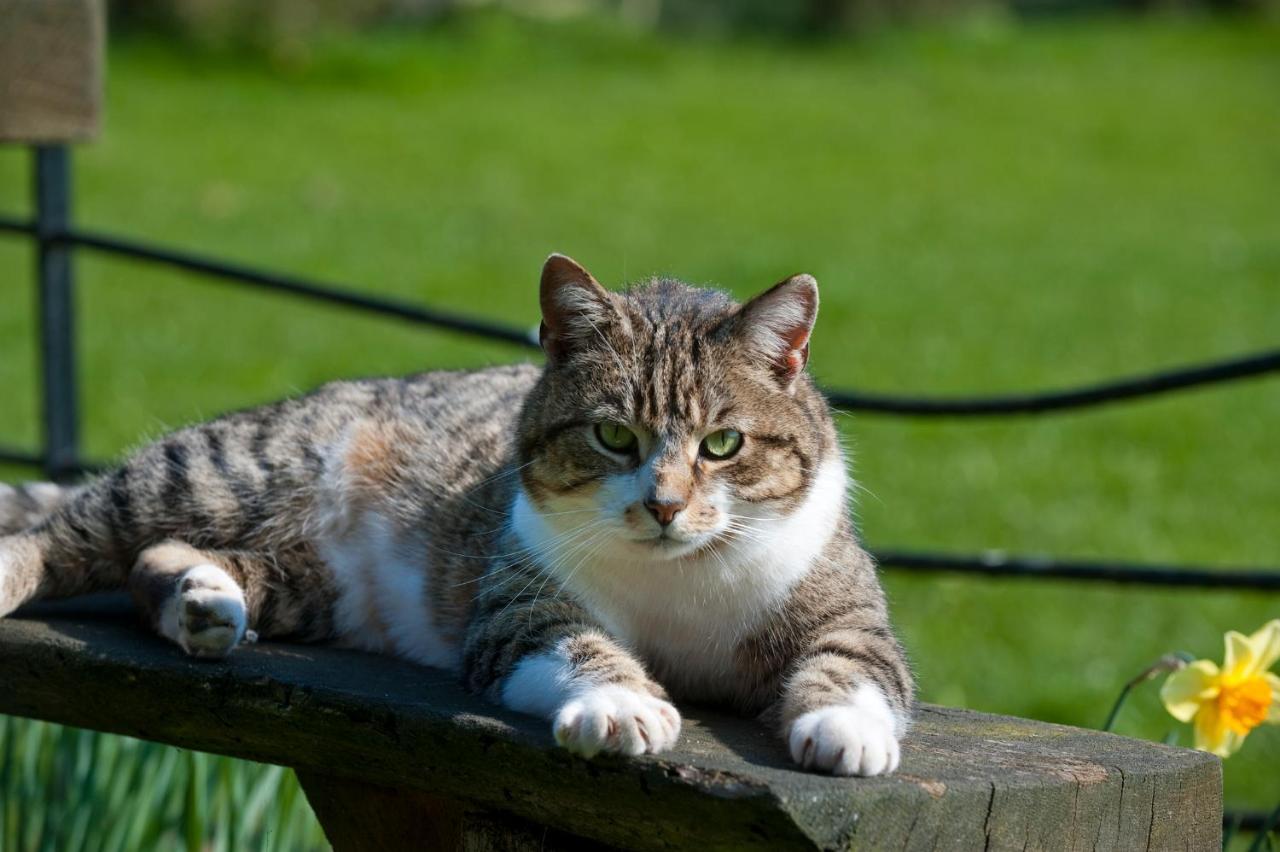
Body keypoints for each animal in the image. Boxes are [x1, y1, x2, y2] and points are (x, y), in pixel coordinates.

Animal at [2, 253, 921, 777]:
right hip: (224, 469)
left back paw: (205, 603)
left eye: (723, 443)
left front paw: (846, 728)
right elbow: (575, 643)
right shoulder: (518, 604)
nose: (663, 505)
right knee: (74, 529)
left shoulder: (847, 608)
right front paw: (622, 705)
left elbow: (856, 663)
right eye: (614, 435)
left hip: (313, 583)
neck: (681, 585)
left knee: (158, 558)